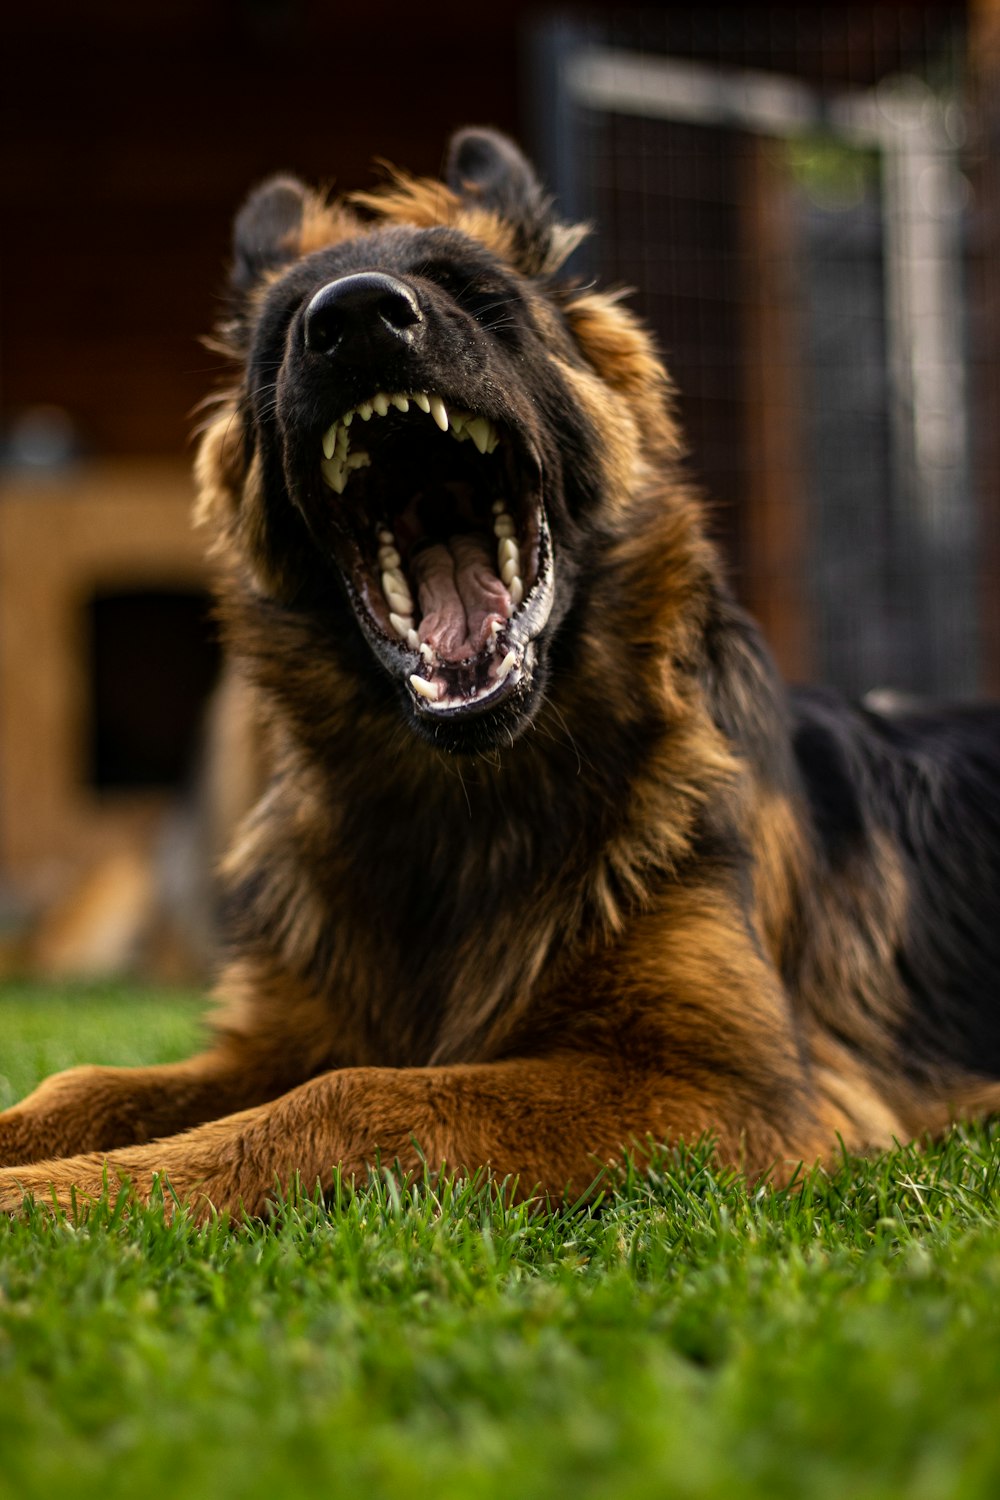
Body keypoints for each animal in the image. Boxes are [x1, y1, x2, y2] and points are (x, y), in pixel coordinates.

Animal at [1, 123, 1000, 1212]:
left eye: (472, 293)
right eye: (281, 336)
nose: (354, 317)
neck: (461, 808)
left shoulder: (727, 1087)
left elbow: (356, 1097)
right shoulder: (276, 1039)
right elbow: (81, 1082)